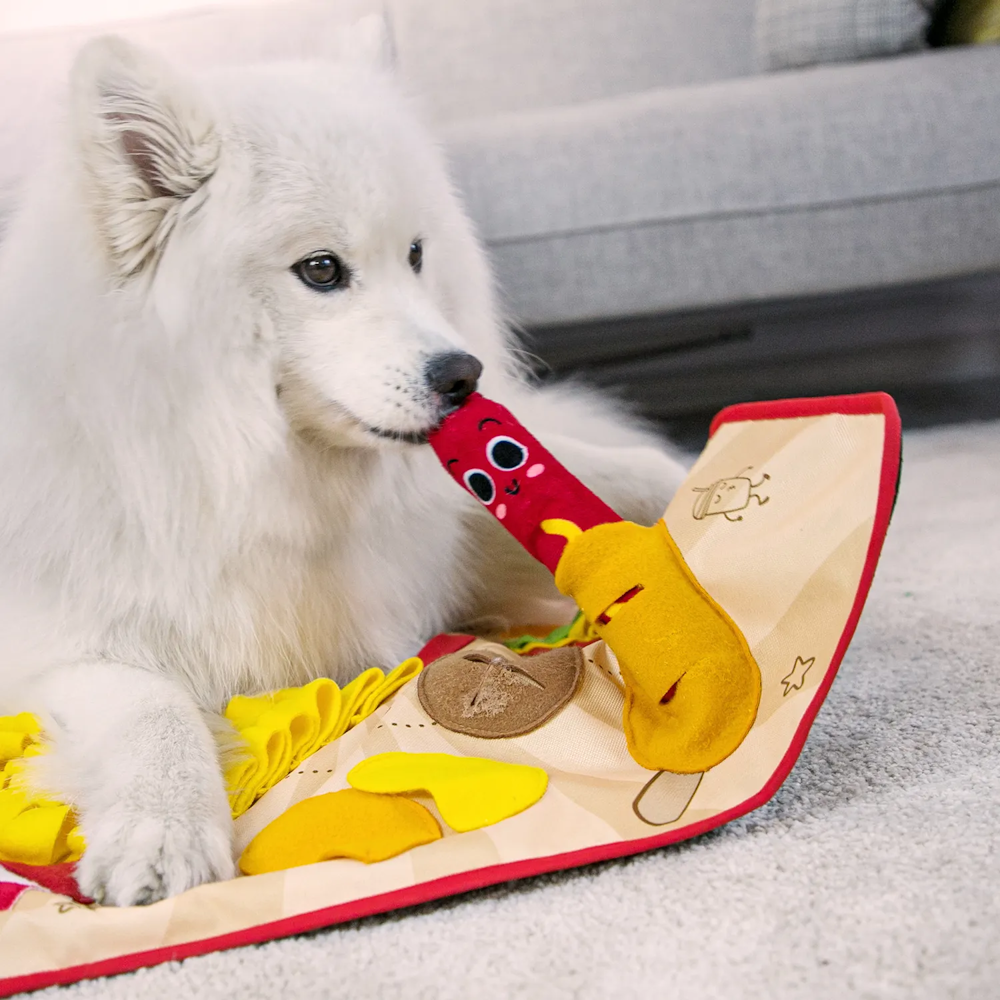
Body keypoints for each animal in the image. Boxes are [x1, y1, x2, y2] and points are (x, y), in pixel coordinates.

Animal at [0, 29, 684, 908]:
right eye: (321, 270)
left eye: (417, 255)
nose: (465, 376)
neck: (239, 479)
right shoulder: (56, 648)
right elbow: (153, 707)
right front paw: (164, 836)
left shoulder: (440, 535)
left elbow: (610, 494)